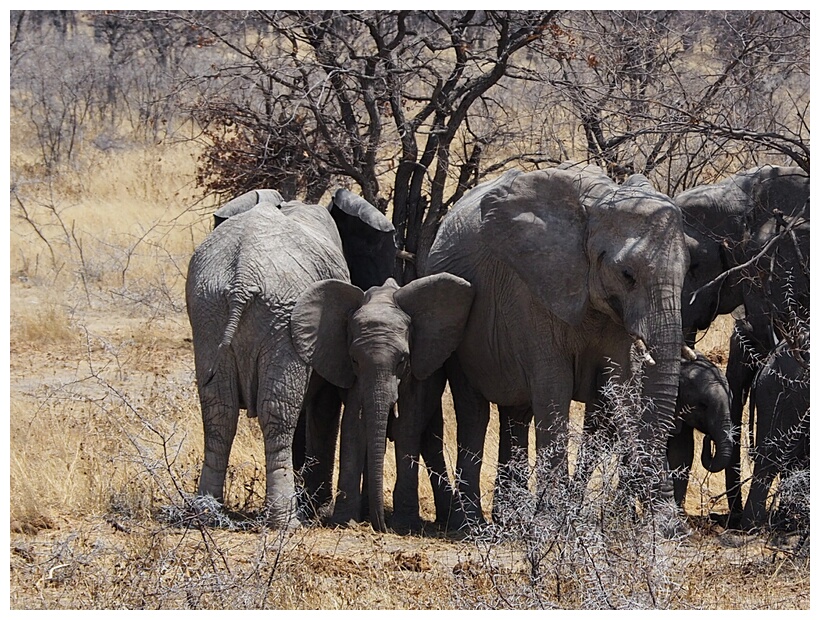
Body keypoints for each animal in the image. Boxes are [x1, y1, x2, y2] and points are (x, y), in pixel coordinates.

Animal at [406, 161, 688, 528]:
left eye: (688, 272)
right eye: (627, 275)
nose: (669, 523)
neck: (594, 208)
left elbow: (617, 383)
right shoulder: (531, 288)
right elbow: (554, 386)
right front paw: (557, 522)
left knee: (516, 416)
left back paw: (509, 519)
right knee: (474, 413)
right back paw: (472, 524)